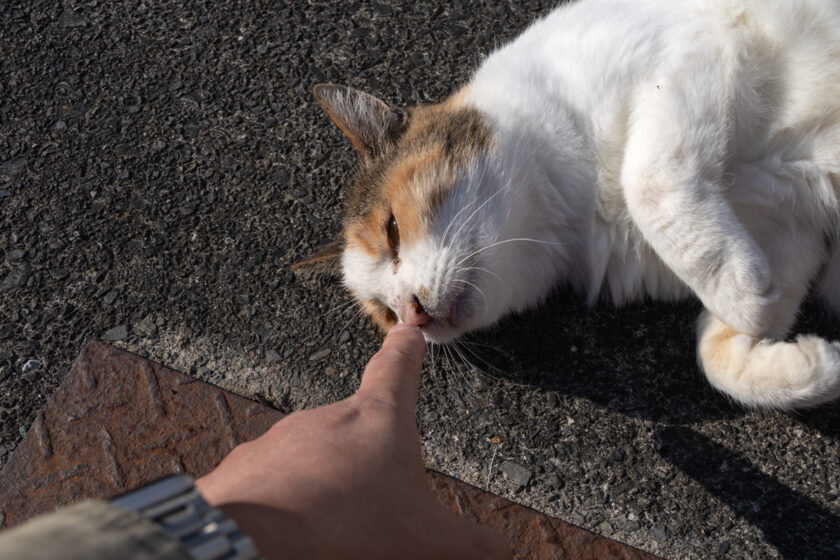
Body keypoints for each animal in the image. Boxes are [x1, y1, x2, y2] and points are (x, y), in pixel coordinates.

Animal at [298, 0, 840, 412]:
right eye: (386, 315)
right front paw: (805, 361)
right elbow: (717, 357)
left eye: (392, 229)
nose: (412, 313)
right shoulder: (789, 229)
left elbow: (646, 182)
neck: (574, 207)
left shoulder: (699, 45)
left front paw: (745, 294)